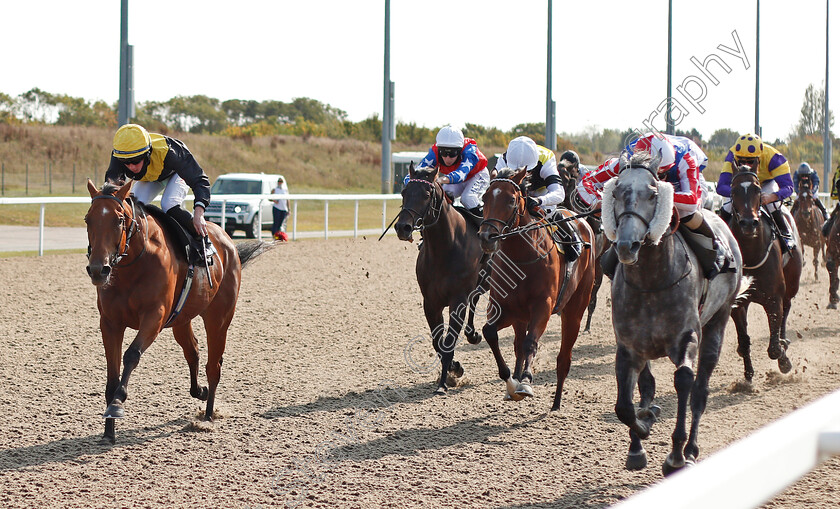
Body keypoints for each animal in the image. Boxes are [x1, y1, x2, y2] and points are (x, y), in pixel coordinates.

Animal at [84, 180, 270, 440]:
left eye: (119, 219)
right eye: (88, 219)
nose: (98, 269)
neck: (134, 264)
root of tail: (227, 241)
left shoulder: (154, 317)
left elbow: (131, 355)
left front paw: (117, 404)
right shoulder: (110, 323)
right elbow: (112, 375)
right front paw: (108, 431)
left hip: (219, 318)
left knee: (214, 365)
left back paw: (208, 416)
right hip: (182, 320)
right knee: (193, 350)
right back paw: (199, 391)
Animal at [394, 163, 486, 392]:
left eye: (426, 194)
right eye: (404, 192)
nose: (402, 227)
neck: (446, 248)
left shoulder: (458, 300)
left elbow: (449, 340)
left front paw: (444, 382)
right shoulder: (431, 301)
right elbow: (438, 341)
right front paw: (454, 368)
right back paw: (472, 334)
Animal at [480, 167, 596, 408]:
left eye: (511, 200)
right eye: (485, 197)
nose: (487, 237)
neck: (522, 258)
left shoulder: (543, 307)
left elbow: (531, 343)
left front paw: (525, 382)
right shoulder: (504, 309)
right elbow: (490, 333)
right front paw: (511, 383)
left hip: (574, 310)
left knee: (563, 359)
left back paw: (556, 403)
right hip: (521, 317)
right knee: (517, 345)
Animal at [604, 153, 748, 474]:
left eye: (653, 194)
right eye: (616, 192)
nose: (626, 246)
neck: (651, 281)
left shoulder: (687, 337)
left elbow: (684, 380)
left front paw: (676, 456)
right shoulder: (628, 347)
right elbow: (624, 405)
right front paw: (640, 435)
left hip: (719, 320)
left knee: (700, 390)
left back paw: (691, 449)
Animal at [728, 169, 800, 380]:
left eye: (758, 190)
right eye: (733, 190)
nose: (748, 223)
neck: (751, 254)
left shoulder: (773, 298)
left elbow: (774, 348)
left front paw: (784, 360)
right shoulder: (738, 303)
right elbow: (744, 341)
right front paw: (747, 375)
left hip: (792, 284)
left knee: (787, 307)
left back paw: (784, 340)